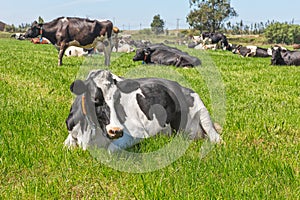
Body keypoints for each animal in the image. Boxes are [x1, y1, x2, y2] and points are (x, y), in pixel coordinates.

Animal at [64, 69, 221, 151]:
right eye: (95, 99)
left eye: (119, 99)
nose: (116, 130)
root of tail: (179, 86)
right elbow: (66, 145)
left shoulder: (137, 133)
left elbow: (110, 150)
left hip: (202, 110)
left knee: (215, 136)